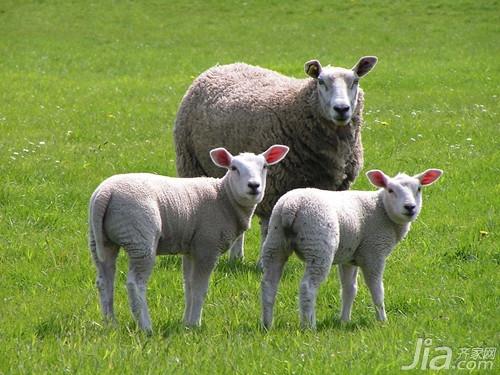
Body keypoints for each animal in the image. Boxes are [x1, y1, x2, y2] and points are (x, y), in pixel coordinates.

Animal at [88, 145, 288, 334]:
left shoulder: (192, 248)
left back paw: (110, 324)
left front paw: (186, 323)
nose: (254, 186)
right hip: (140, 237)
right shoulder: (207, 246)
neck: (224, 197)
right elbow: (200, 288)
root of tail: (106, 193)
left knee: (104, 281)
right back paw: (146, 327)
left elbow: (189, 286)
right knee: (135, 284)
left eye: (264, 166)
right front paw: (195, 324)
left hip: (100, 240)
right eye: (233, 168)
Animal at [174, 56, 376, 264]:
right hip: (192, 163)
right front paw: (264, 263)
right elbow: (268, 228)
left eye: (355, 81)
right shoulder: (272, 187)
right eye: (320, 81)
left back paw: (236, 257)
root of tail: (223, 66)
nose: (341, 109)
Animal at [260, 169, 444, 330]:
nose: (410, 207)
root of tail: (291, 207)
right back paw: (309, 326)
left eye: (419, 189)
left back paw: (267, 325)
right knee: (308, 287)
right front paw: (382, 321)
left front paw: (344, 320)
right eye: (390, 190)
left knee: (269, 284)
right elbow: (377, 289)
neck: (381, 210)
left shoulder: (349, 258)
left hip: (275, 241)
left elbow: (349, 290)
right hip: (318, 245)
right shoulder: (373, 252)